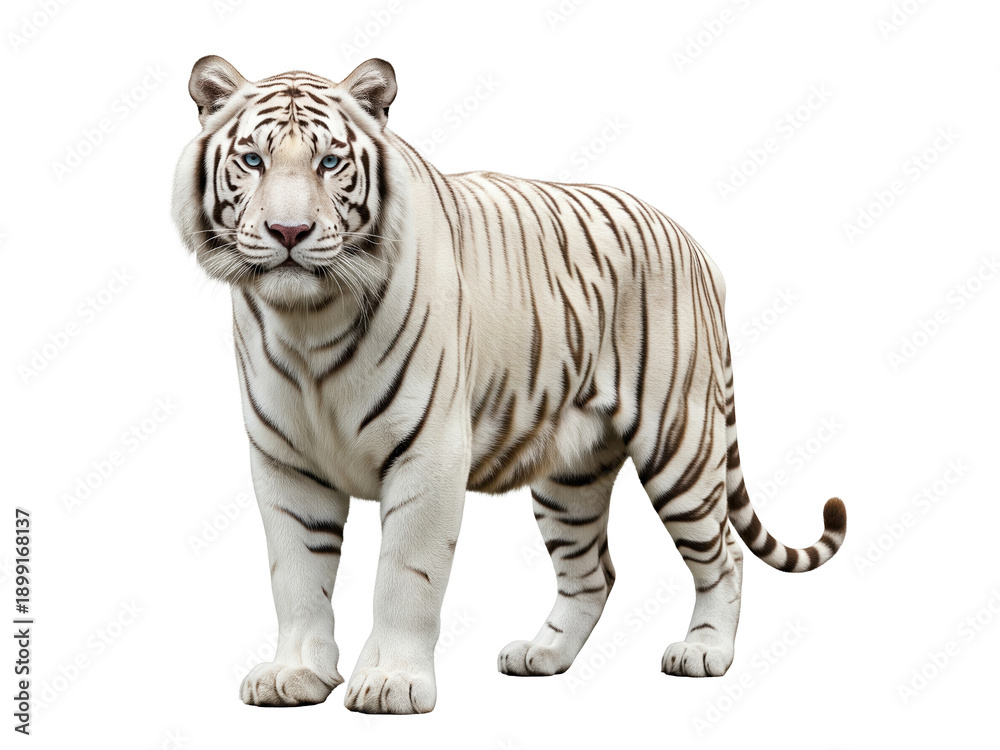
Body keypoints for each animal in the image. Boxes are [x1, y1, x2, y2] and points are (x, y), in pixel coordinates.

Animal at [172, 55, 847, 715]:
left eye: (329, 163)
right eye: (253, 161)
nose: (289, 232)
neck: (309, 321)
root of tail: (696, 245)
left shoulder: (429, 454)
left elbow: (404, 576)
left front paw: (391, 682)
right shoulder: (285, 462)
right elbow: (296, 576)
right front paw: (296, 674)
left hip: (679, 444)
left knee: (723, 553)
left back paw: (705, 653)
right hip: (570, 475)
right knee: (592, 572)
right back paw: (541, 656)